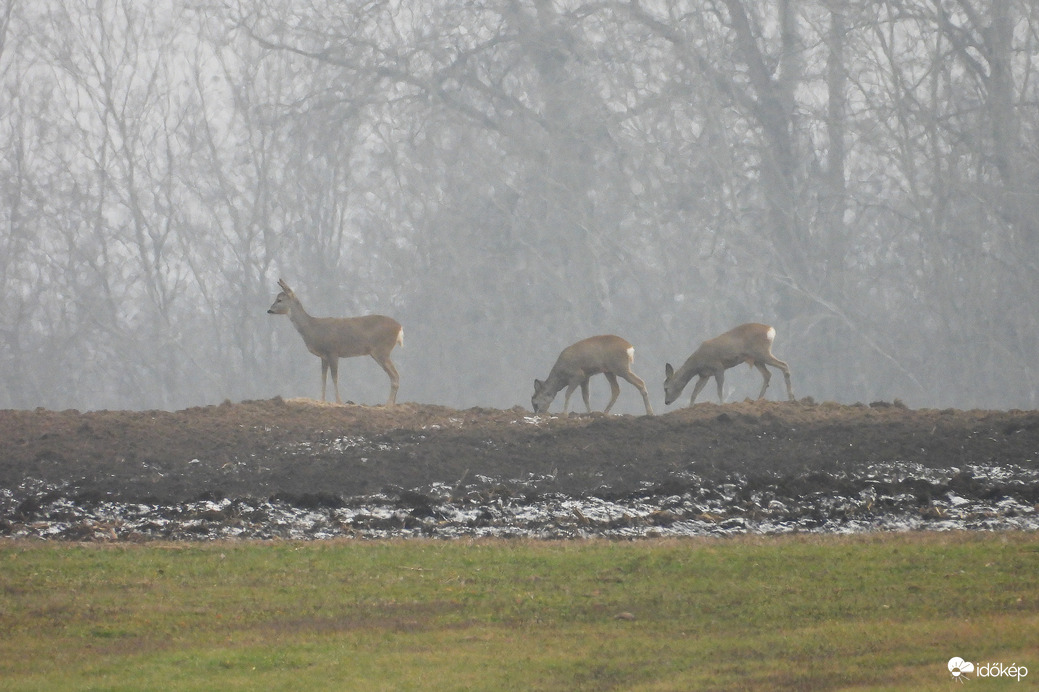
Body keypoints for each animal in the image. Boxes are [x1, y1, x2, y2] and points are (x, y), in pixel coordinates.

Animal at [268, 276, 401, 401]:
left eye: (279, 300)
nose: (269, 310)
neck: (312, 329)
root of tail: (399, 328)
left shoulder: (333, 351)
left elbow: (334, 377)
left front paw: (339, 401)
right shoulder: (324, 356)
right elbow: (323, 378)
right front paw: (322, 400)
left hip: (382, 350)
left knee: (395, 376)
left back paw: (388, 405)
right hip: (378, 352)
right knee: (395, 376)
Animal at [664, 322, 793, 405]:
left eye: (665, 388)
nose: (666, 402)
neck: (697, 363)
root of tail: (770, 330)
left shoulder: (718, 367)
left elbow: (719, 389)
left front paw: (721, 404)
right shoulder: (705, 375)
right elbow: (694, 393)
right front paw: (690, 407)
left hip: (762, 353)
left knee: (784, 365)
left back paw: (791, 397)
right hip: (757, 359)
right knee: (767, 374)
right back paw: (758, 399)